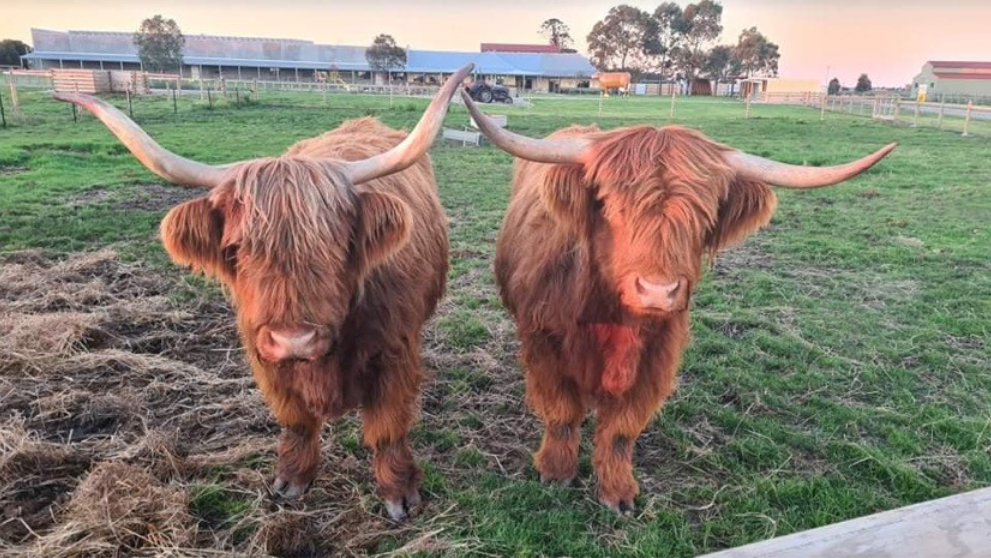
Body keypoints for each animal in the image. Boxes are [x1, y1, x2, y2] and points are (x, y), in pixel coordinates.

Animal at [53, 63, 472, 524]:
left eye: (338, 244)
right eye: (238, 248)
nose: (294, 340)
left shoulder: (394, 352)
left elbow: (388, 428)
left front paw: (399, 494)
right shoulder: (263, 353)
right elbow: (296, 420)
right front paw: (291, 480)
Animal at [464, 93, 900, 516]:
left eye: (703, 216)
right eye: (610, 205)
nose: (658, 291)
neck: (610, 319)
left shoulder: (656, 358)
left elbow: (621, 430)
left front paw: (618, 493)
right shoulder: (544, 344)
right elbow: (562, 413)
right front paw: (555, 473)